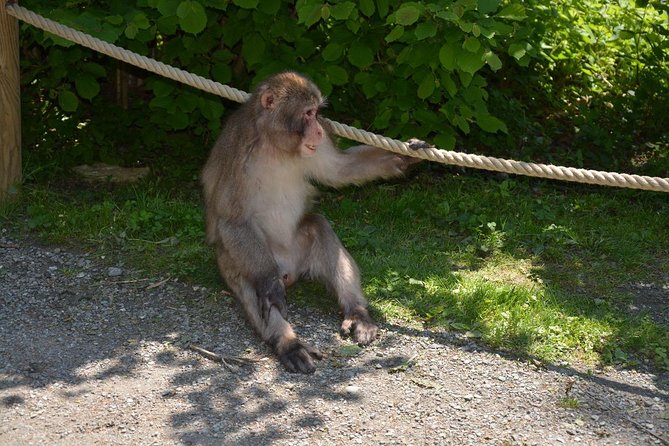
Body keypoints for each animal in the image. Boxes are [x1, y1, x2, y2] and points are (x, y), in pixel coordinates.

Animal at [202, 71, 421, 374]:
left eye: (317, 113)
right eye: (308, 113)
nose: (318, 129)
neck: (274, 145)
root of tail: (289, 270)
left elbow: (340, 170)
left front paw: (407, 156)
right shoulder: (236, 150)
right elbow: (232, 220)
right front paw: (269, 284)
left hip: (300, 249)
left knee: (318, 225)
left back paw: (357, 314)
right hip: (235, 259)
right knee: (253, 284)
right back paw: (288, 342)